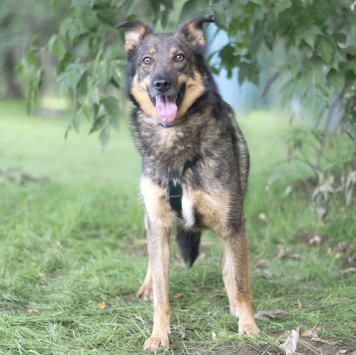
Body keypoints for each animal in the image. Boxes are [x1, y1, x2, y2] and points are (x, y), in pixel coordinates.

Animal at [116, 17, 258, 350]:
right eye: (147, 60)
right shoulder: (158, 220)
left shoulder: (233, 222)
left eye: (179, 57)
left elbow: (240, 281)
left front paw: (247, 324)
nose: (161, 83)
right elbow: (161, 292)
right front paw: (159, 334)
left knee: (229, 265)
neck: (173, 140)